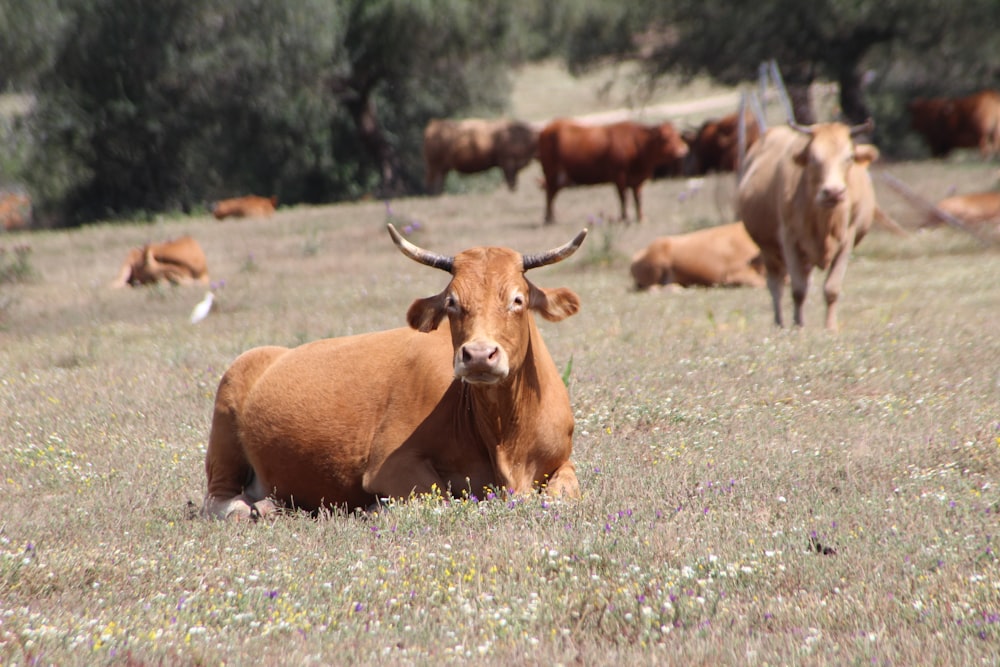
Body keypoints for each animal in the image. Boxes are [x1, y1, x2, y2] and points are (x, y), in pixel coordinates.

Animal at [202, 222, 584, 520]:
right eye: (452, 303)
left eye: (517, 300)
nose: (478, 355)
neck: (507, 438)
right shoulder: (391, 465)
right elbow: (440, 497)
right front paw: (376, 508)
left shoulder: (562, 461)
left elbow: (565, 494)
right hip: (225, 424)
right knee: (219, 499)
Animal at [540, 118, 688, 224]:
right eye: (666, 138)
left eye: (678, 135)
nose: (683, 150)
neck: (636, 145)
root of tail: (548, 128)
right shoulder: (619, 176)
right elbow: (623, 198)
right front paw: (624, 217)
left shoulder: (637, 180)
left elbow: (638, 199)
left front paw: (641, 217)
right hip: (551, 173)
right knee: (549, 194)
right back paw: (549, 218)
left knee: (552, 194)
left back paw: (552, 217)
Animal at [740, 122, 880, 332]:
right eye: (813, 158)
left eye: (849, 157)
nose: (833, 192)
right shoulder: (789, 240)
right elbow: (798, 289)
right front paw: (798, 326)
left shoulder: (847, 239)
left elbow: (831, 288)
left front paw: (830, 327)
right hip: (769, 251)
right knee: (776, 286)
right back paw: (780, 322)